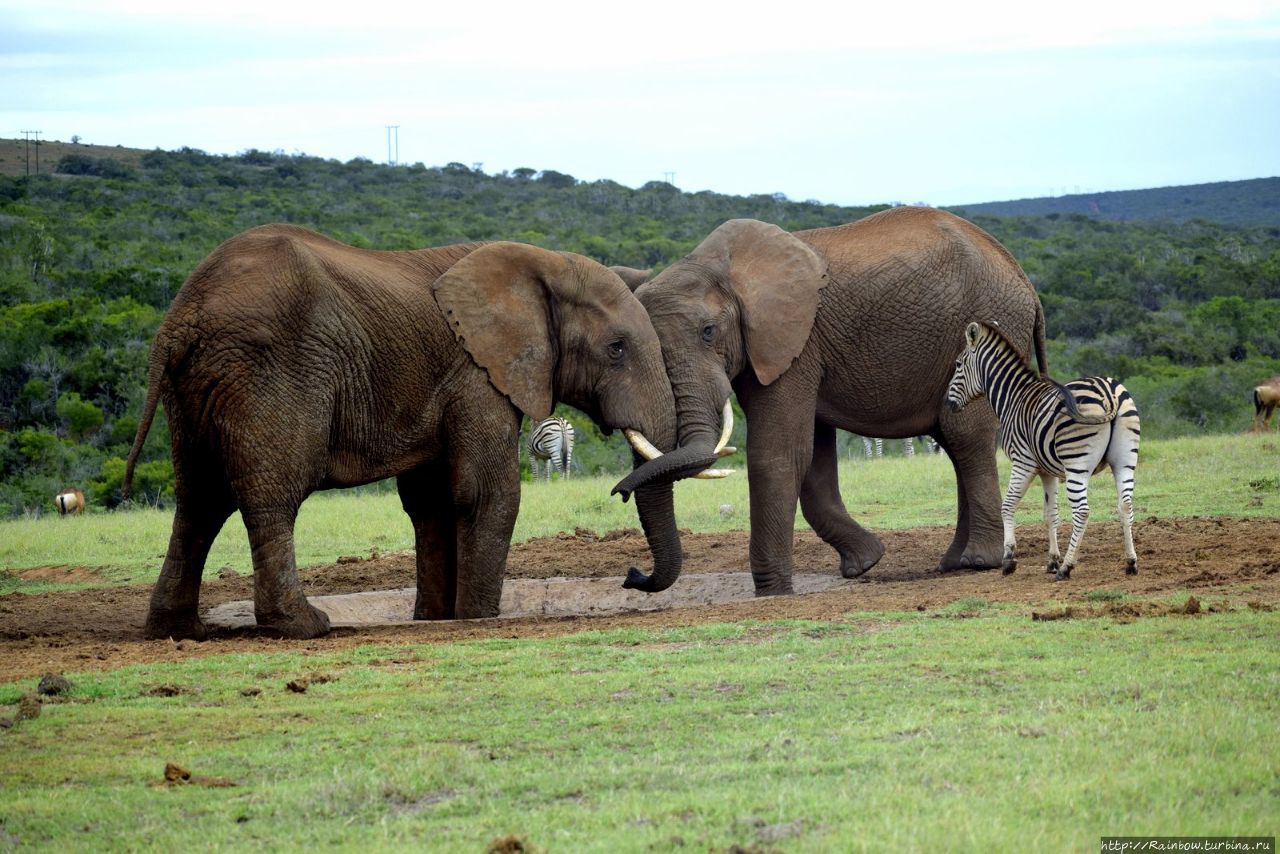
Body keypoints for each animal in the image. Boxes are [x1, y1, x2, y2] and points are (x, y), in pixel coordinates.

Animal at [120, 224, 680, 637]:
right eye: (616, 349)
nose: (632, 576)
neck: (541, 264)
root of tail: (181, 318)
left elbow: (431, 502)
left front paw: (435, 619)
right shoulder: (475, 373)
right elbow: (485, 492)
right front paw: (478, 617)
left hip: (196, 389)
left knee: (199, 500)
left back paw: (179, 630)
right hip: (268, 371)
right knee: (269, 497)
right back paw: (303, 625)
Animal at [614, 204, 1044, 599]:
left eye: (708, 332)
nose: (632, 575)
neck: (718, 269)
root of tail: (1025, 282)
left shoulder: (795, 343)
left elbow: (779, 452)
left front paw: (773, 593)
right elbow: (811, 456)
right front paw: (865, 562)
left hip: (988, 325)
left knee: (965, 436)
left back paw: (978, 561)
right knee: (953, 440)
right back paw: (953, 563)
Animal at [947, 320, 1146, 581]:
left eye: (958, 364)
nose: (948, 403)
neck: (1013, 398)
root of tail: (1108, 393)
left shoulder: (1023, 461)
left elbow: (1007, 506)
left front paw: (1009, 560)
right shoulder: (1047, 471)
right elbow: (1051, 514)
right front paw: (1052, 560)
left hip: (1076, 463)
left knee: (1082, 511)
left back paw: (1067, 568)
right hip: (1124, 459)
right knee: (1125, 505)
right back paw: (1130, 562)